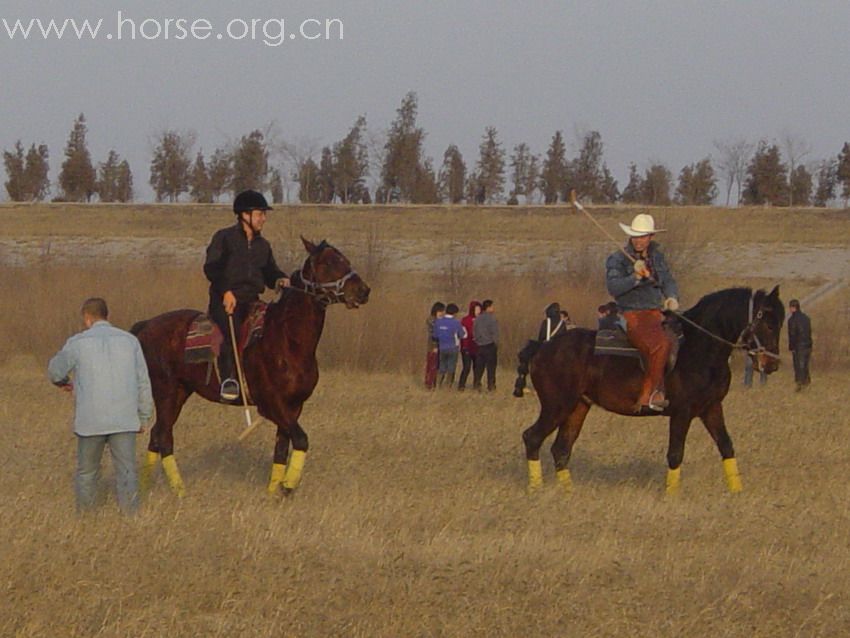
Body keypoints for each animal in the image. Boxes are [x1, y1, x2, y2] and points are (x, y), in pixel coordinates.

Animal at [132, 238, 368, 498]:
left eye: (345, 259)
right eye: (328, 263)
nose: (363, 291)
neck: (287, 340)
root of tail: (146, 326)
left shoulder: (294, 407)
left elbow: (281, 449)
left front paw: (275, 491)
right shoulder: (272, 405)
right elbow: (301, 439)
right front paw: (288, 484)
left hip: (180, 393)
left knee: (156, 434)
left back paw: (144, 488)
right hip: (166, 391)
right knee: (164, 436)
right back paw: (179, 491)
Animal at [524, 288, 780, 498]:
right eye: (768, 324)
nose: (772, 364)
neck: (699, 350)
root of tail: (543, 348)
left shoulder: (711, 408)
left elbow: (726, 445)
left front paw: (737, 491)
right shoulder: (682, 413)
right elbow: (675, 453)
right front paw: (672, 495)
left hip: (578, 406)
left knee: (561, 449)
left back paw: (568, 491)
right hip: (557, 406)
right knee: (532, 437)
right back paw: (536, 489)